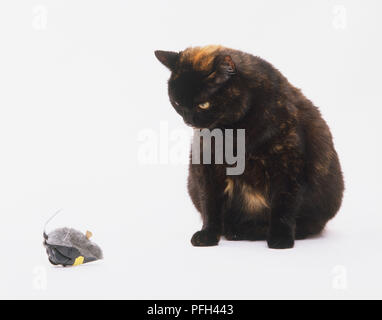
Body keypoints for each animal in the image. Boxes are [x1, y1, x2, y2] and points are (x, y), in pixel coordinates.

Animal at [154, 45, 344, 250]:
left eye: (203, 104)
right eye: (177, 103)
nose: (189, 121)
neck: (234, 133)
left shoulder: (288, 163)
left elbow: (284, 203)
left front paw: (280, 238)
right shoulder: (208, 163)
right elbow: (210, 202)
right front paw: (207, 235)